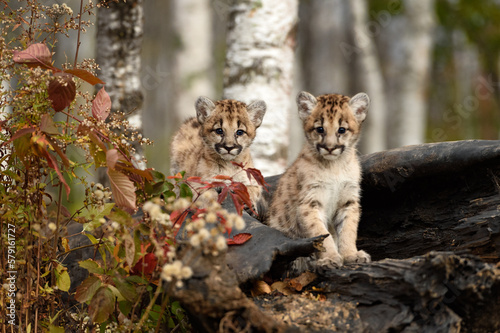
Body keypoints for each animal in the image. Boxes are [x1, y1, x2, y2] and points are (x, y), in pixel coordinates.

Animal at [268, 92, 370, 272]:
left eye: (341, 130)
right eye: (320, 129)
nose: (329, 147)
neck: (335, 166)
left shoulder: (348, 201)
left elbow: (348, 230)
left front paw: (351, 255)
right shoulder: (310, 202)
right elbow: (321, 234)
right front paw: (330, 258)